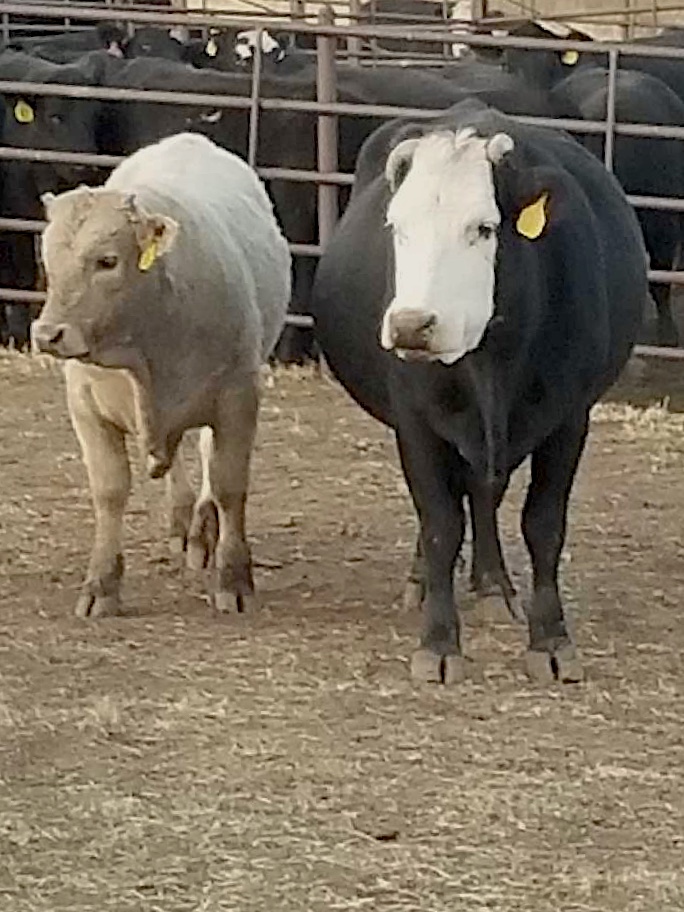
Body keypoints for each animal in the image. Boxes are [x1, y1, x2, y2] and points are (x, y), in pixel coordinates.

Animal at [31, 133, 291, 617]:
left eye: (107, 261)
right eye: (48, 259)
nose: (47, 334)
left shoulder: (239, 396)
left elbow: (229, 485)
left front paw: (233, 579)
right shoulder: (85, 406)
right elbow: (110, 490)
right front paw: (101, 585)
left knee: (205, 453)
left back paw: (203, 528)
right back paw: (182, 520)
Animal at [310, 98, 648, 685]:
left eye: (484, 229)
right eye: (397, 227)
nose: (411, 324)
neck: (492, 360)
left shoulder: (570, 418)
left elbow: (543, 524)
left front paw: (551, 640)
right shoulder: (416, 422)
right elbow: (441, 524)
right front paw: (439, 643)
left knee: (484, 491)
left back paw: (493, 584)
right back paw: (426, 582)